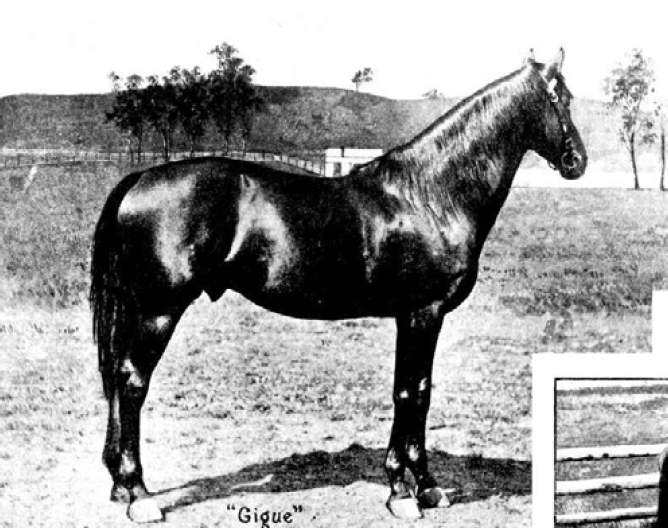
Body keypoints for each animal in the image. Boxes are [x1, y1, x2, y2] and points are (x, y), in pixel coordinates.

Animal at [90, 48, 586, 523]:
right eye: (559, 98)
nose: (577, 161)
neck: (429, 194)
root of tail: (141, 178)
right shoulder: (421, 313)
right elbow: (411, 393)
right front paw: (403, 492)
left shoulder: (417, 317)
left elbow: (417, 391)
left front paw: (425, 486)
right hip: (158, 309)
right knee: (132, 383)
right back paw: (140, 495)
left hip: (137, 308)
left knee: (118, 378)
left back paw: (119, 486)